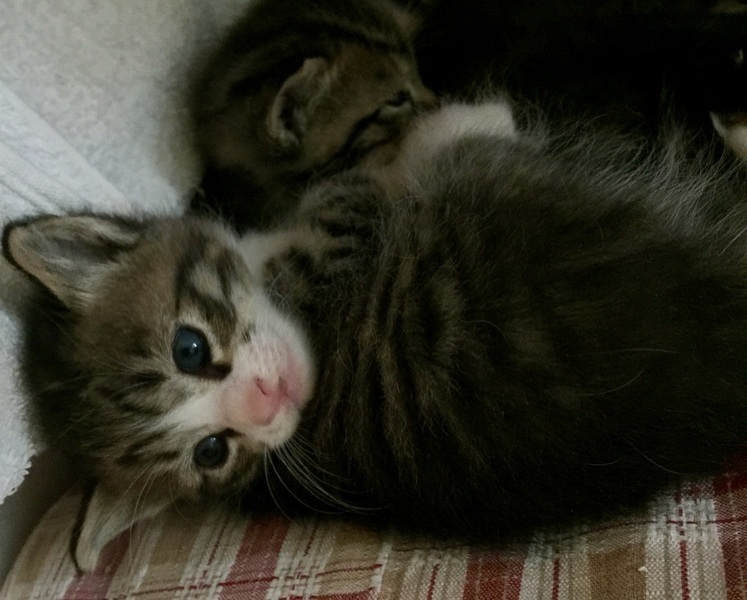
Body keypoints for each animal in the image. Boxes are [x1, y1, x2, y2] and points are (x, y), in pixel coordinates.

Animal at [6, 98, 747, 572]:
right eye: (213, 452)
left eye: (189, 348)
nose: (268, 402)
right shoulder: (340, 242)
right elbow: (365, 182)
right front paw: (444, 120)